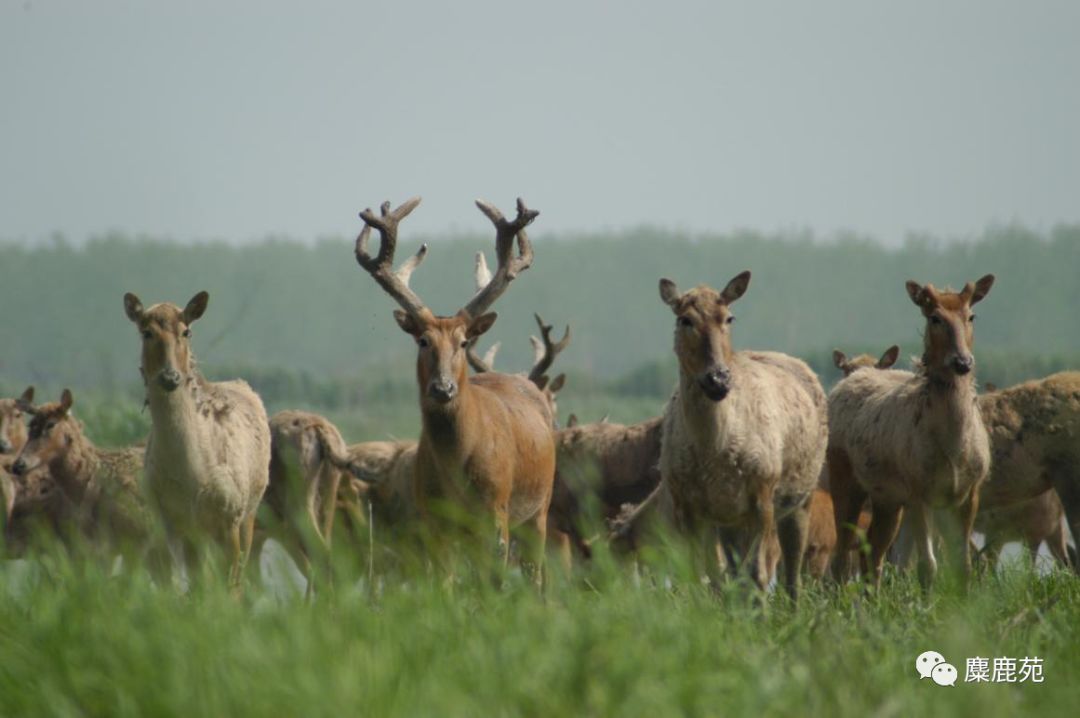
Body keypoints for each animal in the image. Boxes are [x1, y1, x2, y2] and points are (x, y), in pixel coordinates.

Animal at [123, 289, 272, 591]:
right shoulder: (170, 523)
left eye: (186, 331)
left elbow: (230, 585)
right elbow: (188, 587)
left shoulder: (229, 515)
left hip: (250, 510)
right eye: (146, 332)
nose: (170, 376)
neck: (189, 474)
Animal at [354, 197, 557, 587]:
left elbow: (494, 581)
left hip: (540, 506)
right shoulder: (433, 518)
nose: (443, 388)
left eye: (463, 342)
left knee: (538, 574)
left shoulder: (496, 508)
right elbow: (445, 585)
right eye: (422, 340)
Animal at [656, 272, 825, 595]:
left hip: (802, 495)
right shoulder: (685, 501)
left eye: (729, 317)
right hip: (729, 520)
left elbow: (757, 574)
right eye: (685, 319)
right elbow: (703, 577)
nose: (718, 378)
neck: (714, 453)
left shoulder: (763, 491)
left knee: (791, 573)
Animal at [825, 275, 993, 587]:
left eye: (971, 315)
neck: (954, 449)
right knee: (842, 556)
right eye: (934, 317)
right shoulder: (917, 489)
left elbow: (963, 566)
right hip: (844, 477)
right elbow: (927, 567)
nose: (962, 362)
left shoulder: (968, 492)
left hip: (886, 497)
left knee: (872, 551)